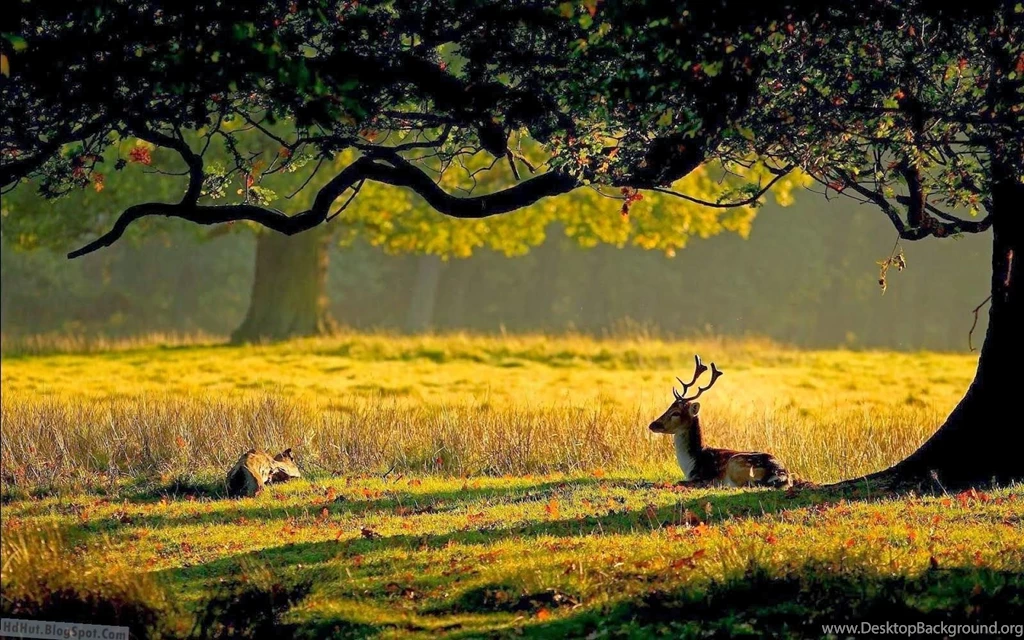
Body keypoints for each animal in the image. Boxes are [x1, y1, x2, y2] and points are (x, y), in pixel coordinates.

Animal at [649, 355, 793, 488]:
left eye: (676, 413)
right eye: (669, 407)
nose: (652, 424)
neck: (691, 464)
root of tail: (782, 474)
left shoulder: (704, 477)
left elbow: (680, 481)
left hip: (736, 463)